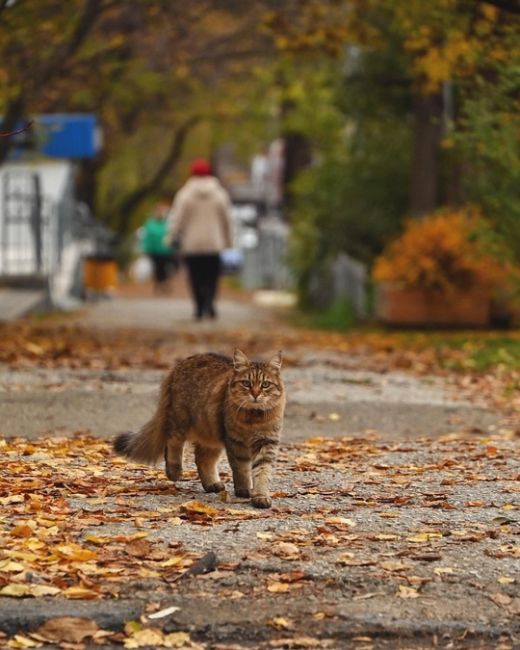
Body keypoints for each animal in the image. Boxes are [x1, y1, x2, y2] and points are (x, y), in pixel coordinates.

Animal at [111, 350, 286, 506]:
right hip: (180, 421)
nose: (255, 395)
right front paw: (244, 490)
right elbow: (242, 469)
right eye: (246, 383)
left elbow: (262, 471)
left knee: (202, 458)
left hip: (210, 434)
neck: (254, 417)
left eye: (265, 385)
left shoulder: (266, 442)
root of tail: (179, 364)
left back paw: (212, 484)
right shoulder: (236, 443)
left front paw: (261, 496)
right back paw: (174, 471)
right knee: (172, 442)